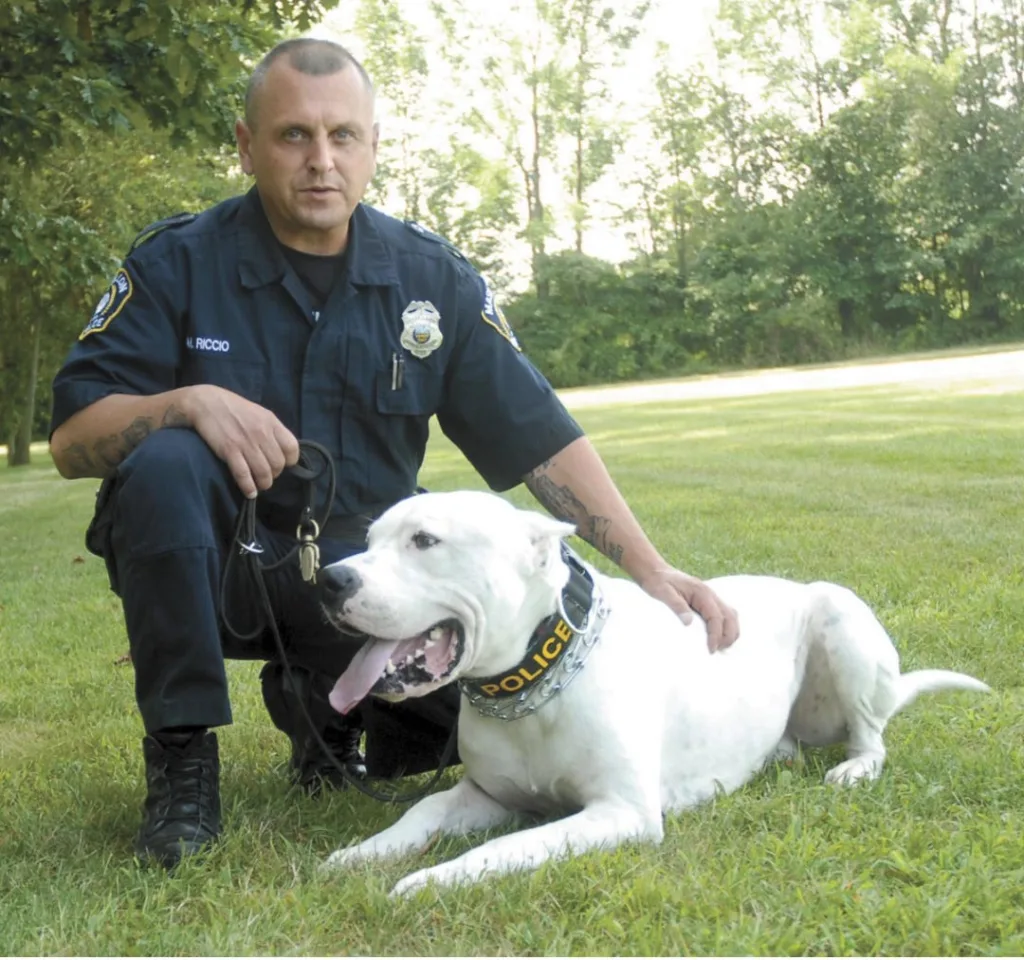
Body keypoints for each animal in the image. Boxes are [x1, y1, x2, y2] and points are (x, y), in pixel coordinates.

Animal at [317, 489, 991, 892]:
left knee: (870, 736)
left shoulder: (621, 813)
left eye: (425, 541)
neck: (532, 684)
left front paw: (428, 881)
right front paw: (359, 855)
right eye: (369, 540)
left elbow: (507, 849)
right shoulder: (485, 795)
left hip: (838, 614)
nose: (329, 577)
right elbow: (424, 810)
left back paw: (854, 768)